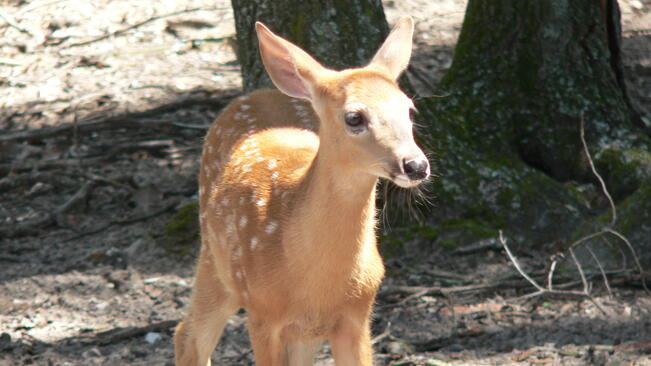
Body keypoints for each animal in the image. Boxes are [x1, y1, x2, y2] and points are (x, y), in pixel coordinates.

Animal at [173, 17, 430, 366]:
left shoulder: (358, 313)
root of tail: (256, 93)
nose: (415, 165)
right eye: (354, 117)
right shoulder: (263, 313)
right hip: (216, 258)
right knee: (187, 333)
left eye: (410, 110)